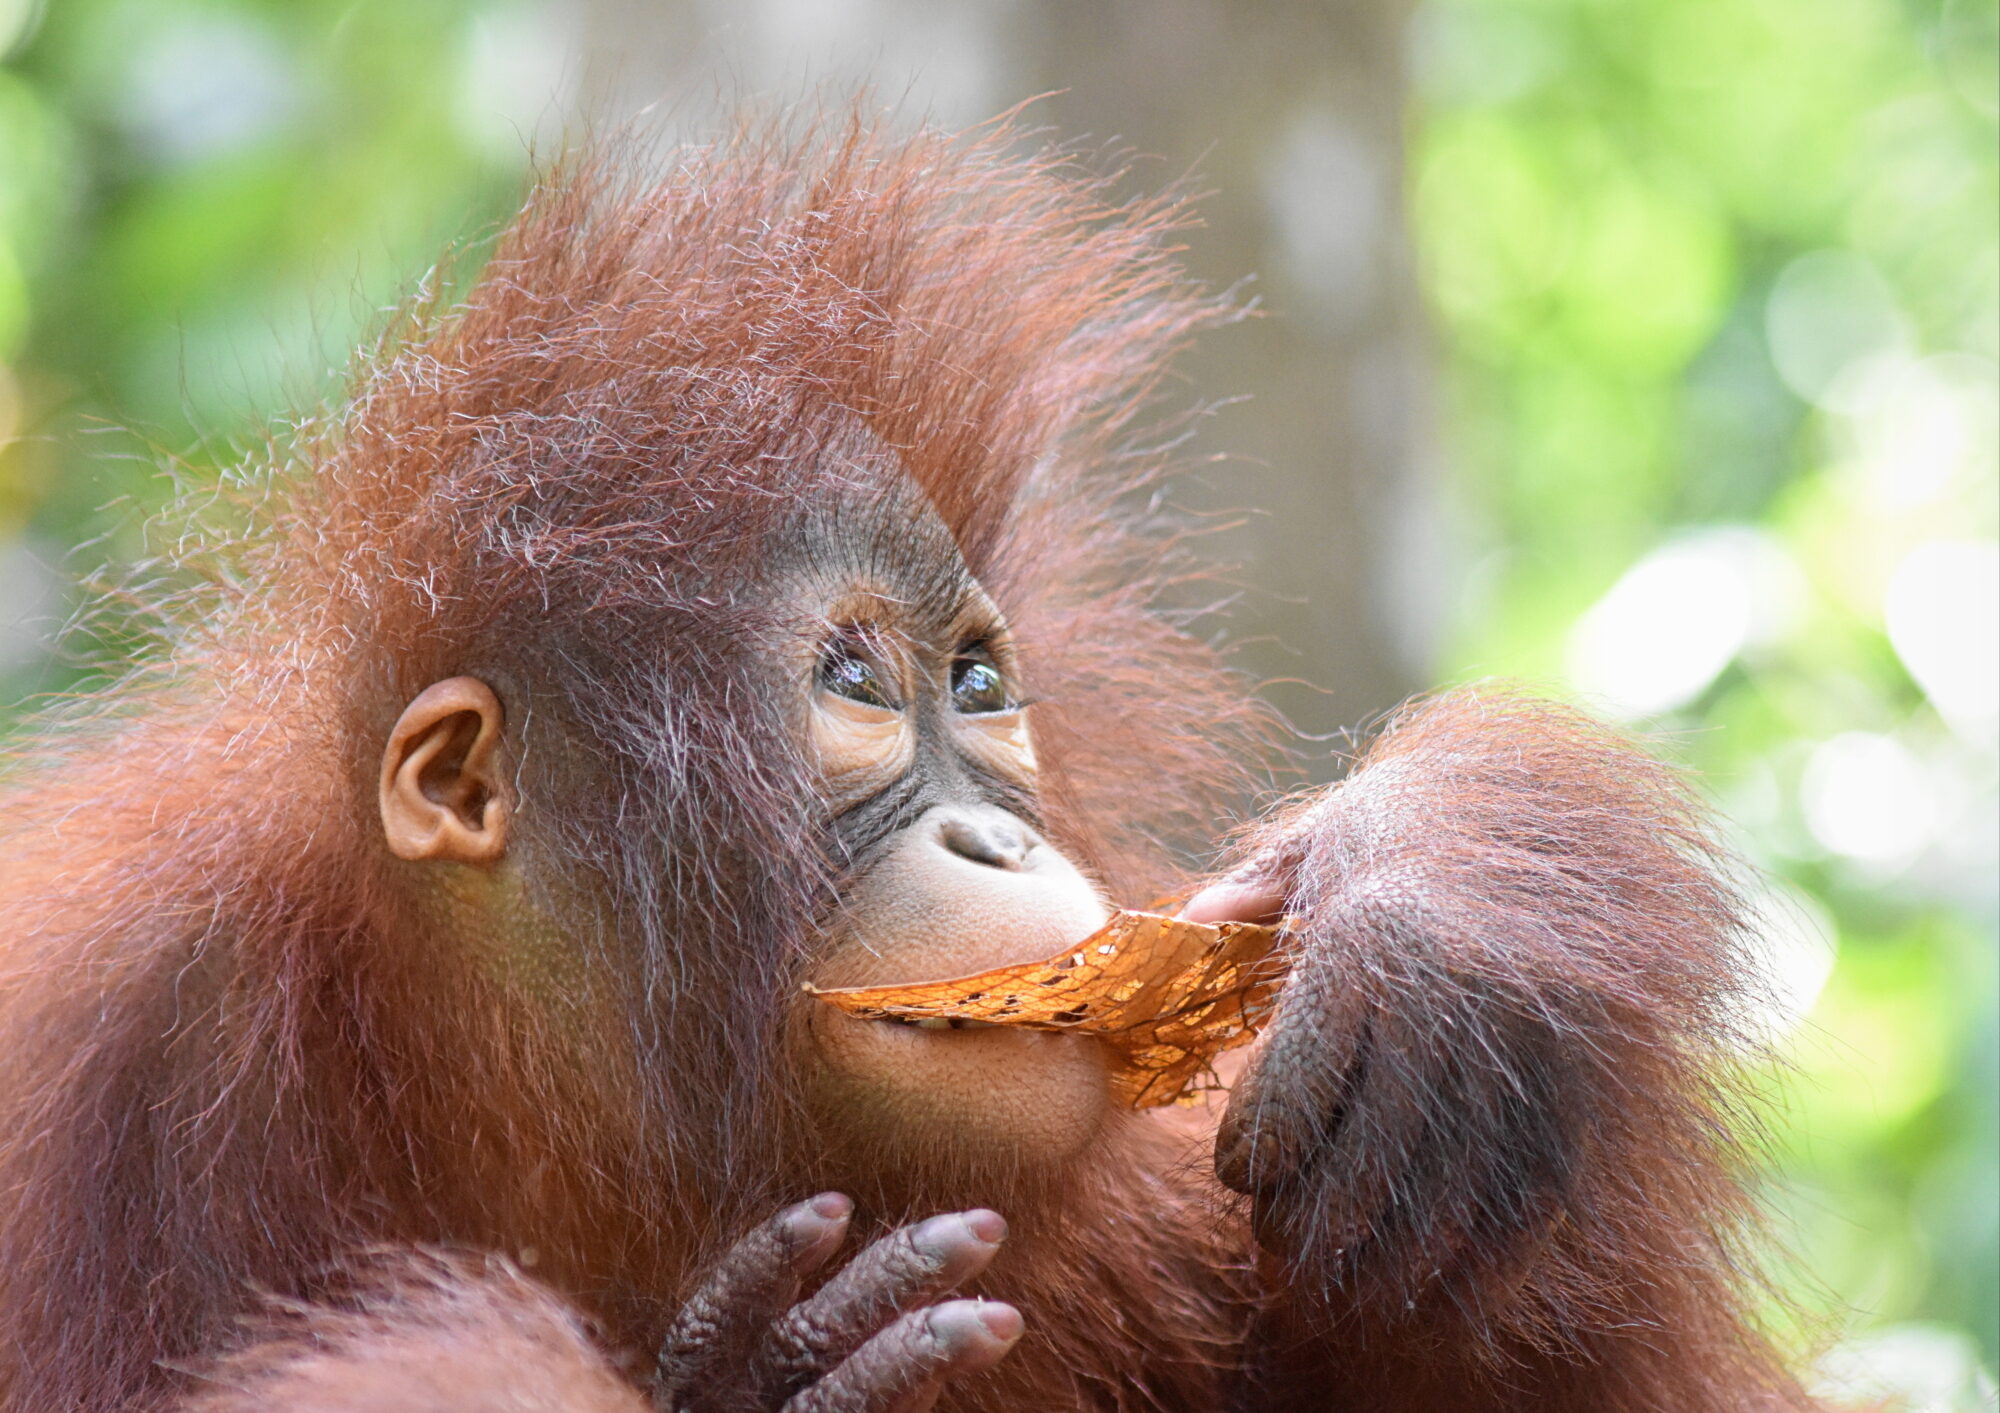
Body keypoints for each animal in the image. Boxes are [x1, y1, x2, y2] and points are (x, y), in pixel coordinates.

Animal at [0, 111, 1819, 1411]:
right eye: (858, 686)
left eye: (979, 682)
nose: (1001, 848)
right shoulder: (120, 1050)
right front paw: (753, 1376)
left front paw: (1448, 902)